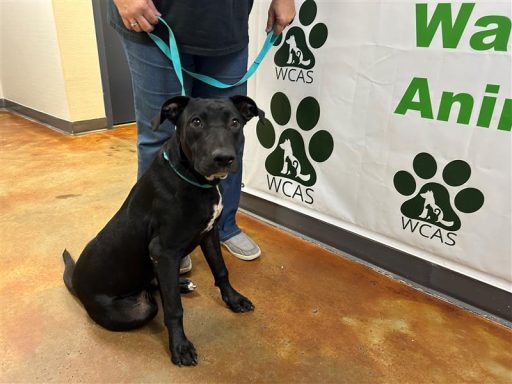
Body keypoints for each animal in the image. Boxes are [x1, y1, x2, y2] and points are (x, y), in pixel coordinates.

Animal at [63, 95, 262, 366]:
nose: (224, 158)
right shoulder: (164, 252)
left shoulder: (209, 234)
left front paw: (234, 300)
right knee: (155, 298)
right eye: (196, 122)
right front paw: (180, 346)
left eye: (235, 122)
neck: (196, 180)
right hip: (138, 308)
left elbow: (221, 270)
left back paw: (182, 284)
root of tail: (76, 281)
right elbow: (173, 308)